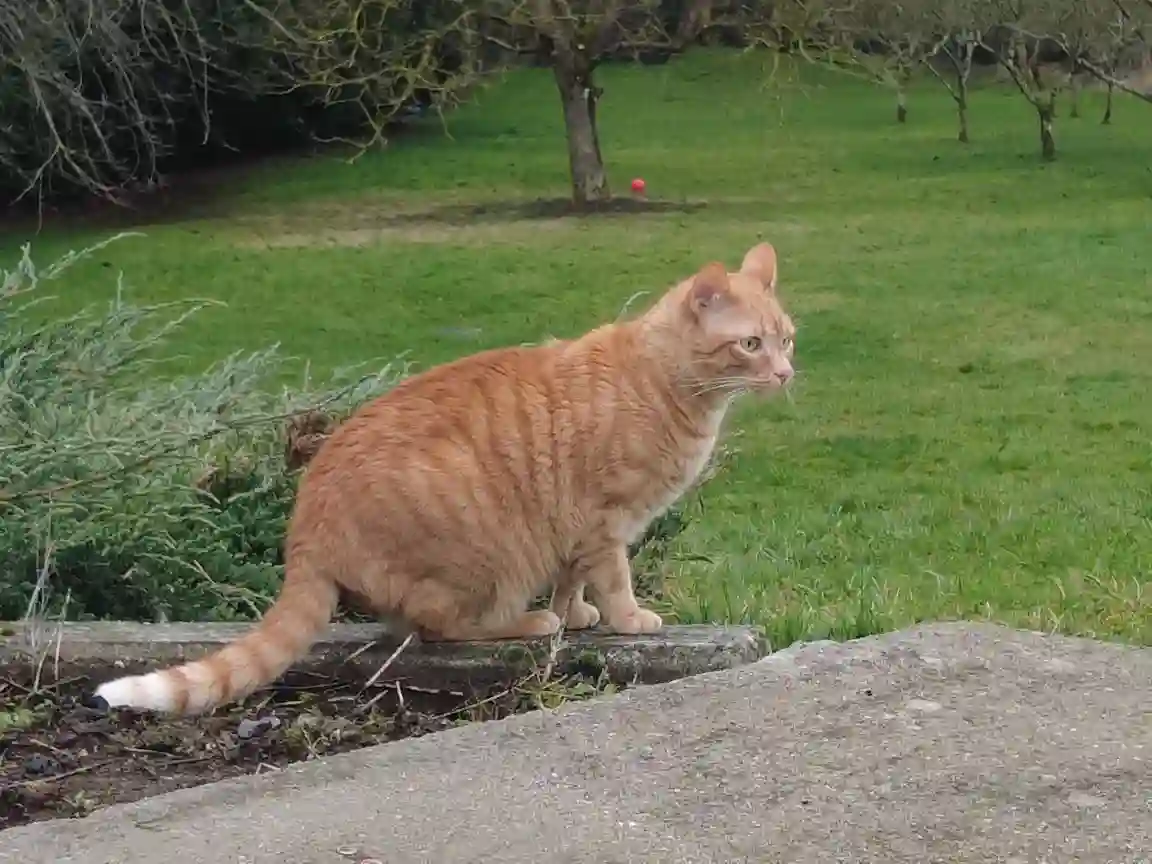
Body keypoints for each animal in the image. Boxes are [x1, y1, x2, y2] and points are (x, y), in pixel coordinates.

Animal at [92, 244, 792, 718]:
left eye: (786, 339)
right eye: (750, 345)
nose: (787, 373)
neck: (668, 382)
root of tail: (303, 527)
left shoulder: (574, 531)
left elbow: (572, 579)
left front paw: (580, 613)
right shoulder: (603, 522)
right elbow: (613, 578)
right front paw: (624, 618)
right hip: (486, 558)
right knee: (444, 626)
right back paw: (530, 622)